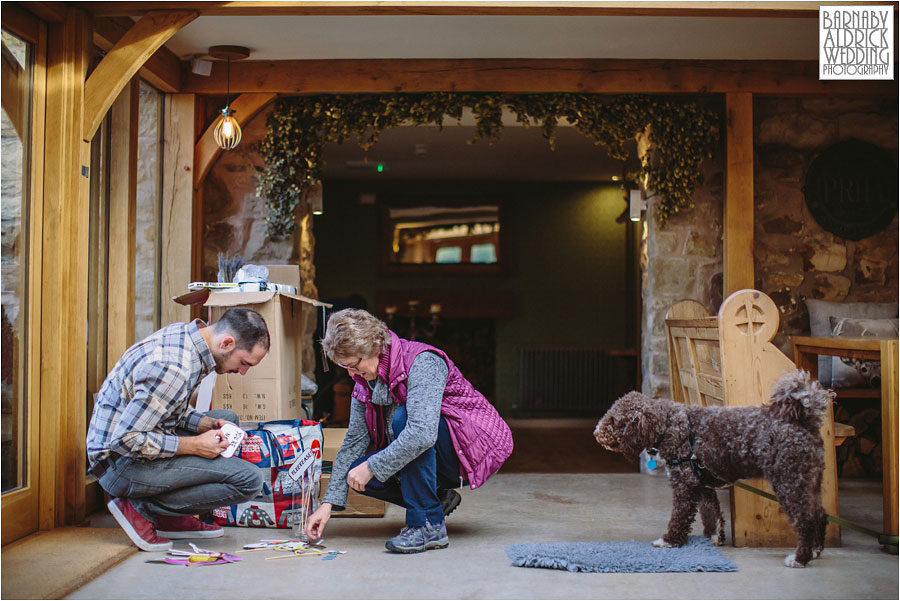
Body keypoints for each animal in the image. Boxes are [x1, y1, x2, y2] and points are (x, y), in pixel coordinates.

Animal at [596, 368, 832, 568]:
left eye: (614, 420)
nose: (596, 432)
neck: (669, 426)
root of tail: (805, 421)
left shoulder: (684, 486)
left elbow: (680, 516)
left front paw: (669, 540)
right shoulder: (702, 485)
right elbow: (711, 512)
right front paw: (714, 536)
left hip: (789, 483)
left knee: (805, 520)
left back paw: (800, 558)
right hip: (809, 482)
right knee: (820, 515)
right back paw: (816, 550)